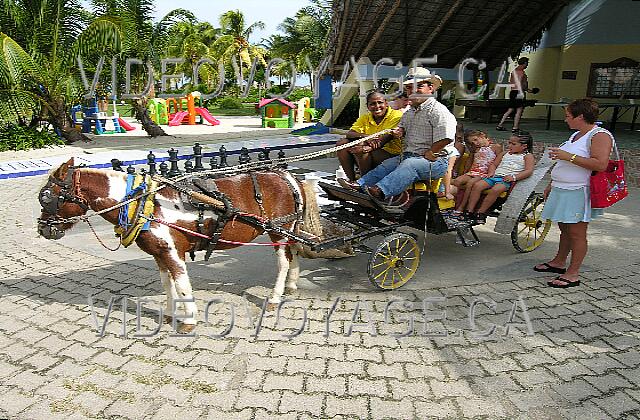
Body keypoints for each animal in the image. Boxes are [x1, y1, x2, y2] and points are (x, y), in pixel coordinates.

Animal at [37, 157, 322, 332]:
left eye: (47, 197)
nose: (42, 228)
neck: (142, 202)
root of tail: (289, 177)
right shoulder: (158, 253)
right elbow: (167, 284)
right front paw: (170, 313)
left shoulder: (174, 252)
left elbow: (183, 286)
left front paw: (189, 320)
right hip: (289, 229)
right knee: (294, 253)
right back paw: (292, 285)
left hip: (279, 230)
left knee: (283, 261)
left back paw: (275, 296)